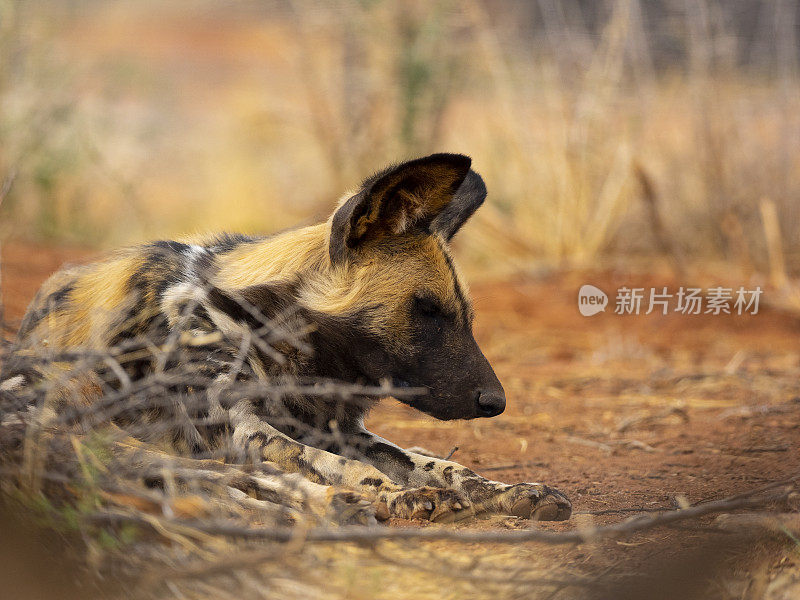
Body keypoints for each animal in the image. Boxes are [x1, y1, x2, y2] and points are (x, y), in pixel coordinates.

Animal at [3, 154, 572, 520]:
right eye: (427, 311)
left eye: (464, 316)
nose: (496, 402)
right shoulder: (243, 429)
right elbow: (337, 466)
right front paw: (392, 496)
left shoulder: (339, 429)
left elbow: (438, 464)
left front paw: (505, 490)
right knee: (212, 479)